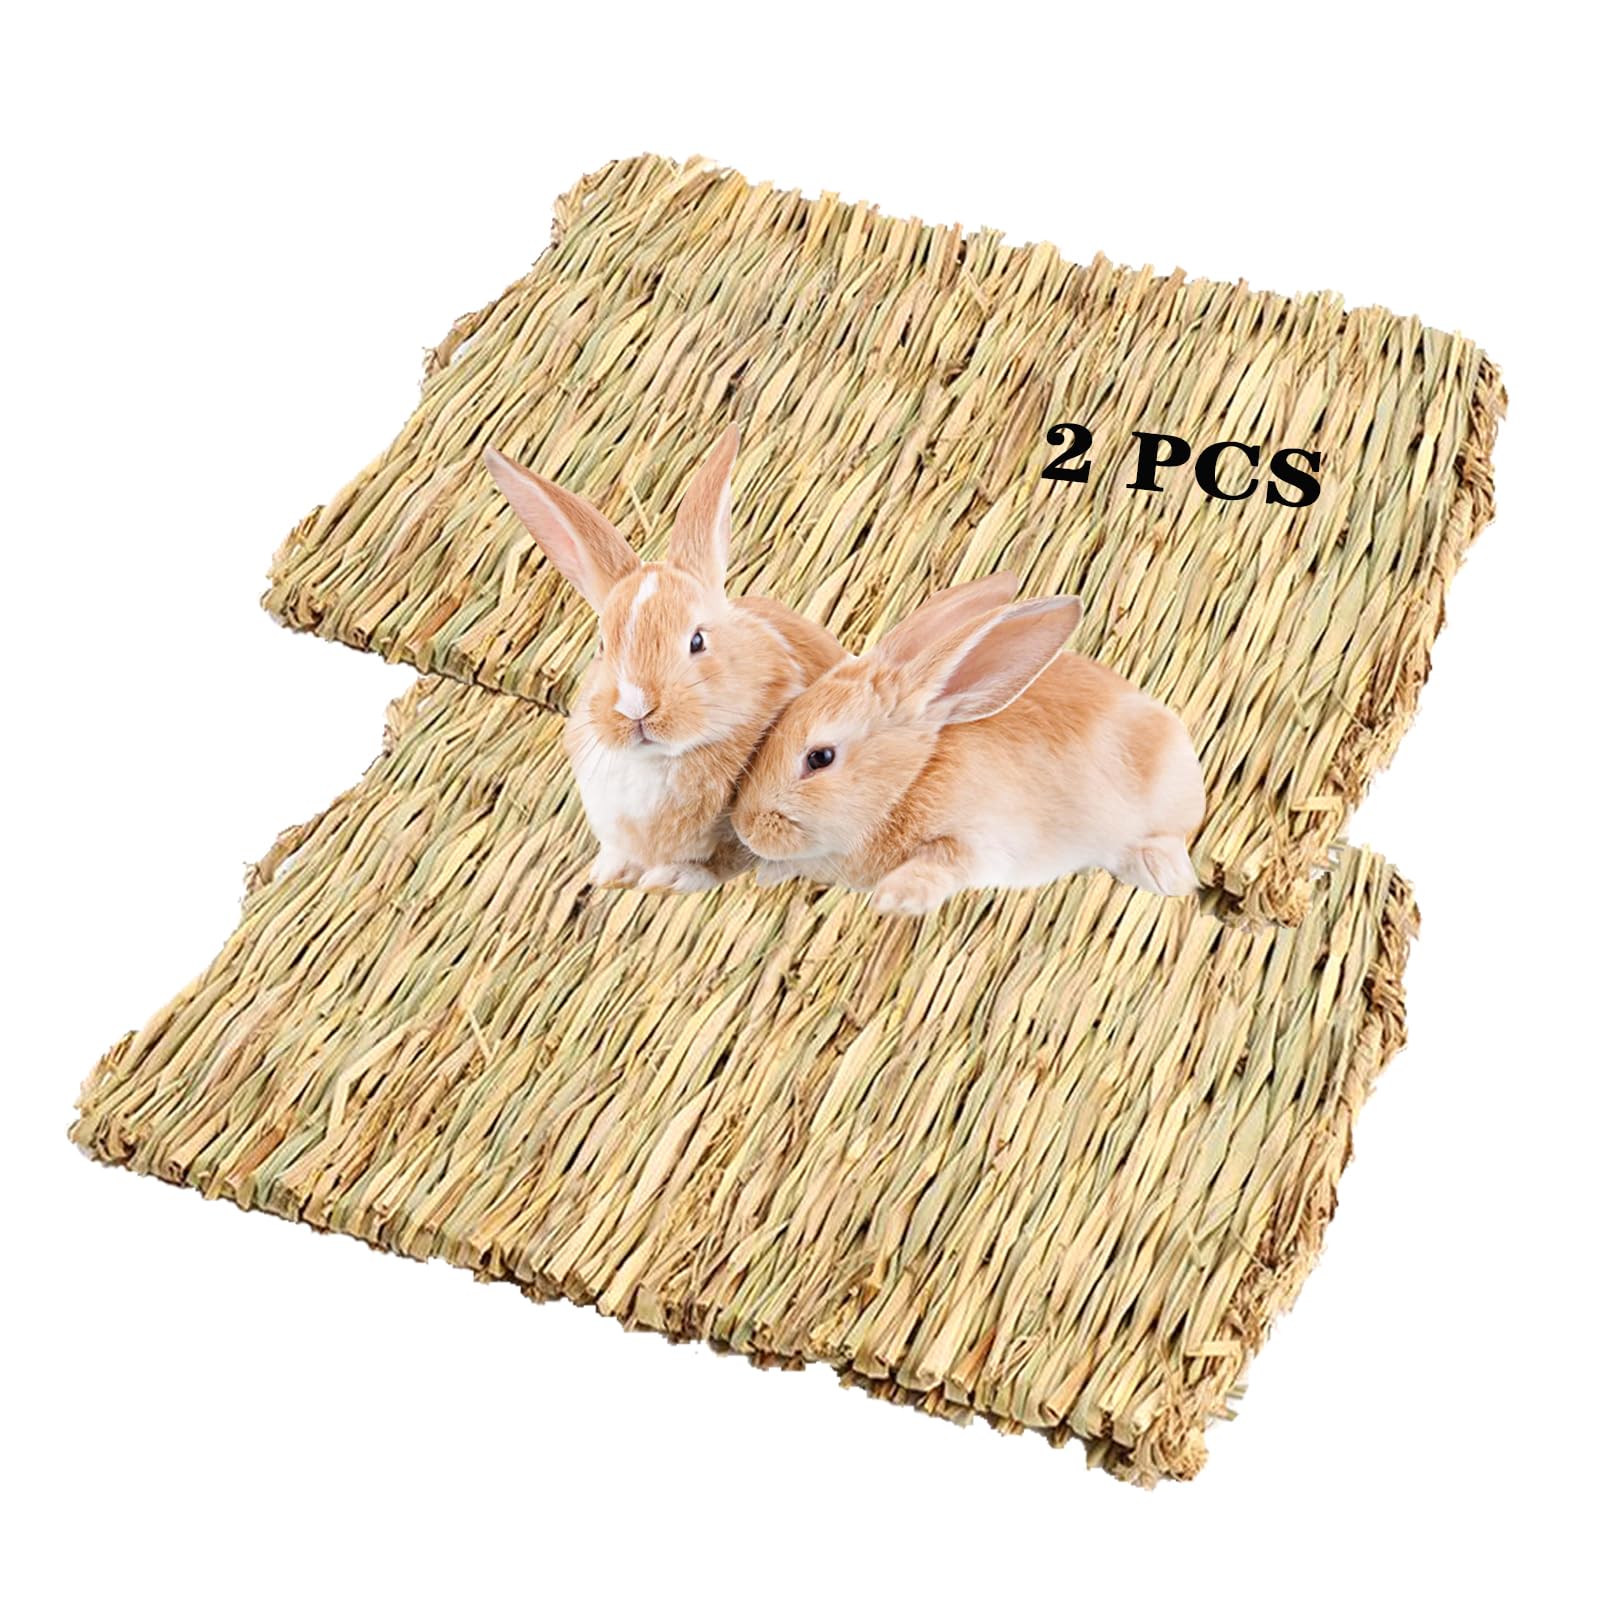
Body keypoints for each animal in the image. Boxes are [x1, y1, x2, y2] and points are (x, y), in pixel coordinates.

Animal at [484, 426, 845, 892]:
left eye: (697, 641)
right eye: (602, 646)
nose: (636, 707)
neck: (657, 760)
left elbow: (718, 862)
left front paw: (668, 880)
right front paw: (608, 875)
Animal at [731, 574, 1206, 915]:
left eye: (820, 758)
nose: (746, 829)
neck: (909, 779)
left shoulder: (980, 839)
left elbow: (943, 863)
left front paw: (896, 898)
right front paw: (770, 874)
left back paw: (1165, 874)